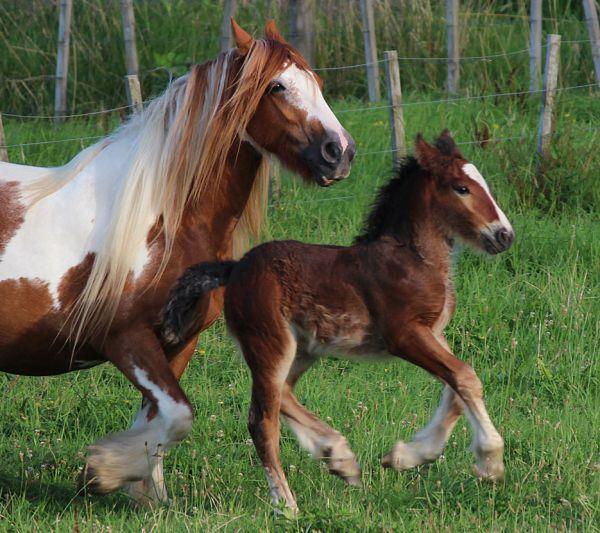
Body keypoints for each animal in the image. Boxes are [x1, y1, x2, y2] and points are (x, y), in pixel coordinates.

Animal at [0, 20, 356, 502]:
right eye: (277, 86)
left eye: (316, 81)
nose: (340, 152)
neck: (164, 220)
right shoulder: (124, 339)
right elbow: (178, 416)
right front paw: (104, 472)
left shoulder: (178, 342)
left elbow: (156, 421)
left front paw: (151, 496)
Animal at [163, 130, 516, 512]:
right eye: (461, 188)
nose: (504, 235)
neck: (413, 258)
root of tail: (234, 268)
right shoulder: (403, 334)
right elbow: (465, 377)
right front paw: (490, 461)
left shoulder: (434, 333)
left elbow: (454, 388)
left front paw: (407, 456)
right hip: (269, 342)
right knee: (261, 419)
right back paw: (287, 504)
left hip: (303, 349)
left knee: (283, 393)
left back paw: (339, 458)